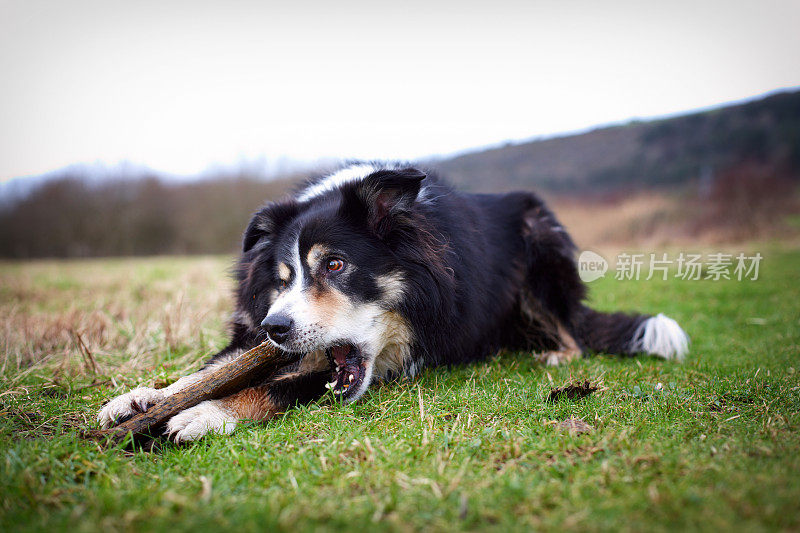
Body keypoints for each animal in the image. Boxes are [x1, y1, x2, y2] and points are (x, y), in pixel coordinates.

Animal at [98, 161, 688, 440]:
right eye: (283, 278)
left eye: (335, 266)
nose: (276, 329)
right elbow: (213, 368)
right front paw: (141, 398)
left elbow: (277, 387)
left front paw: (205, 414)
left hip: (539, 246)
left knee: (573, 333)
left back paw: (554, 353)